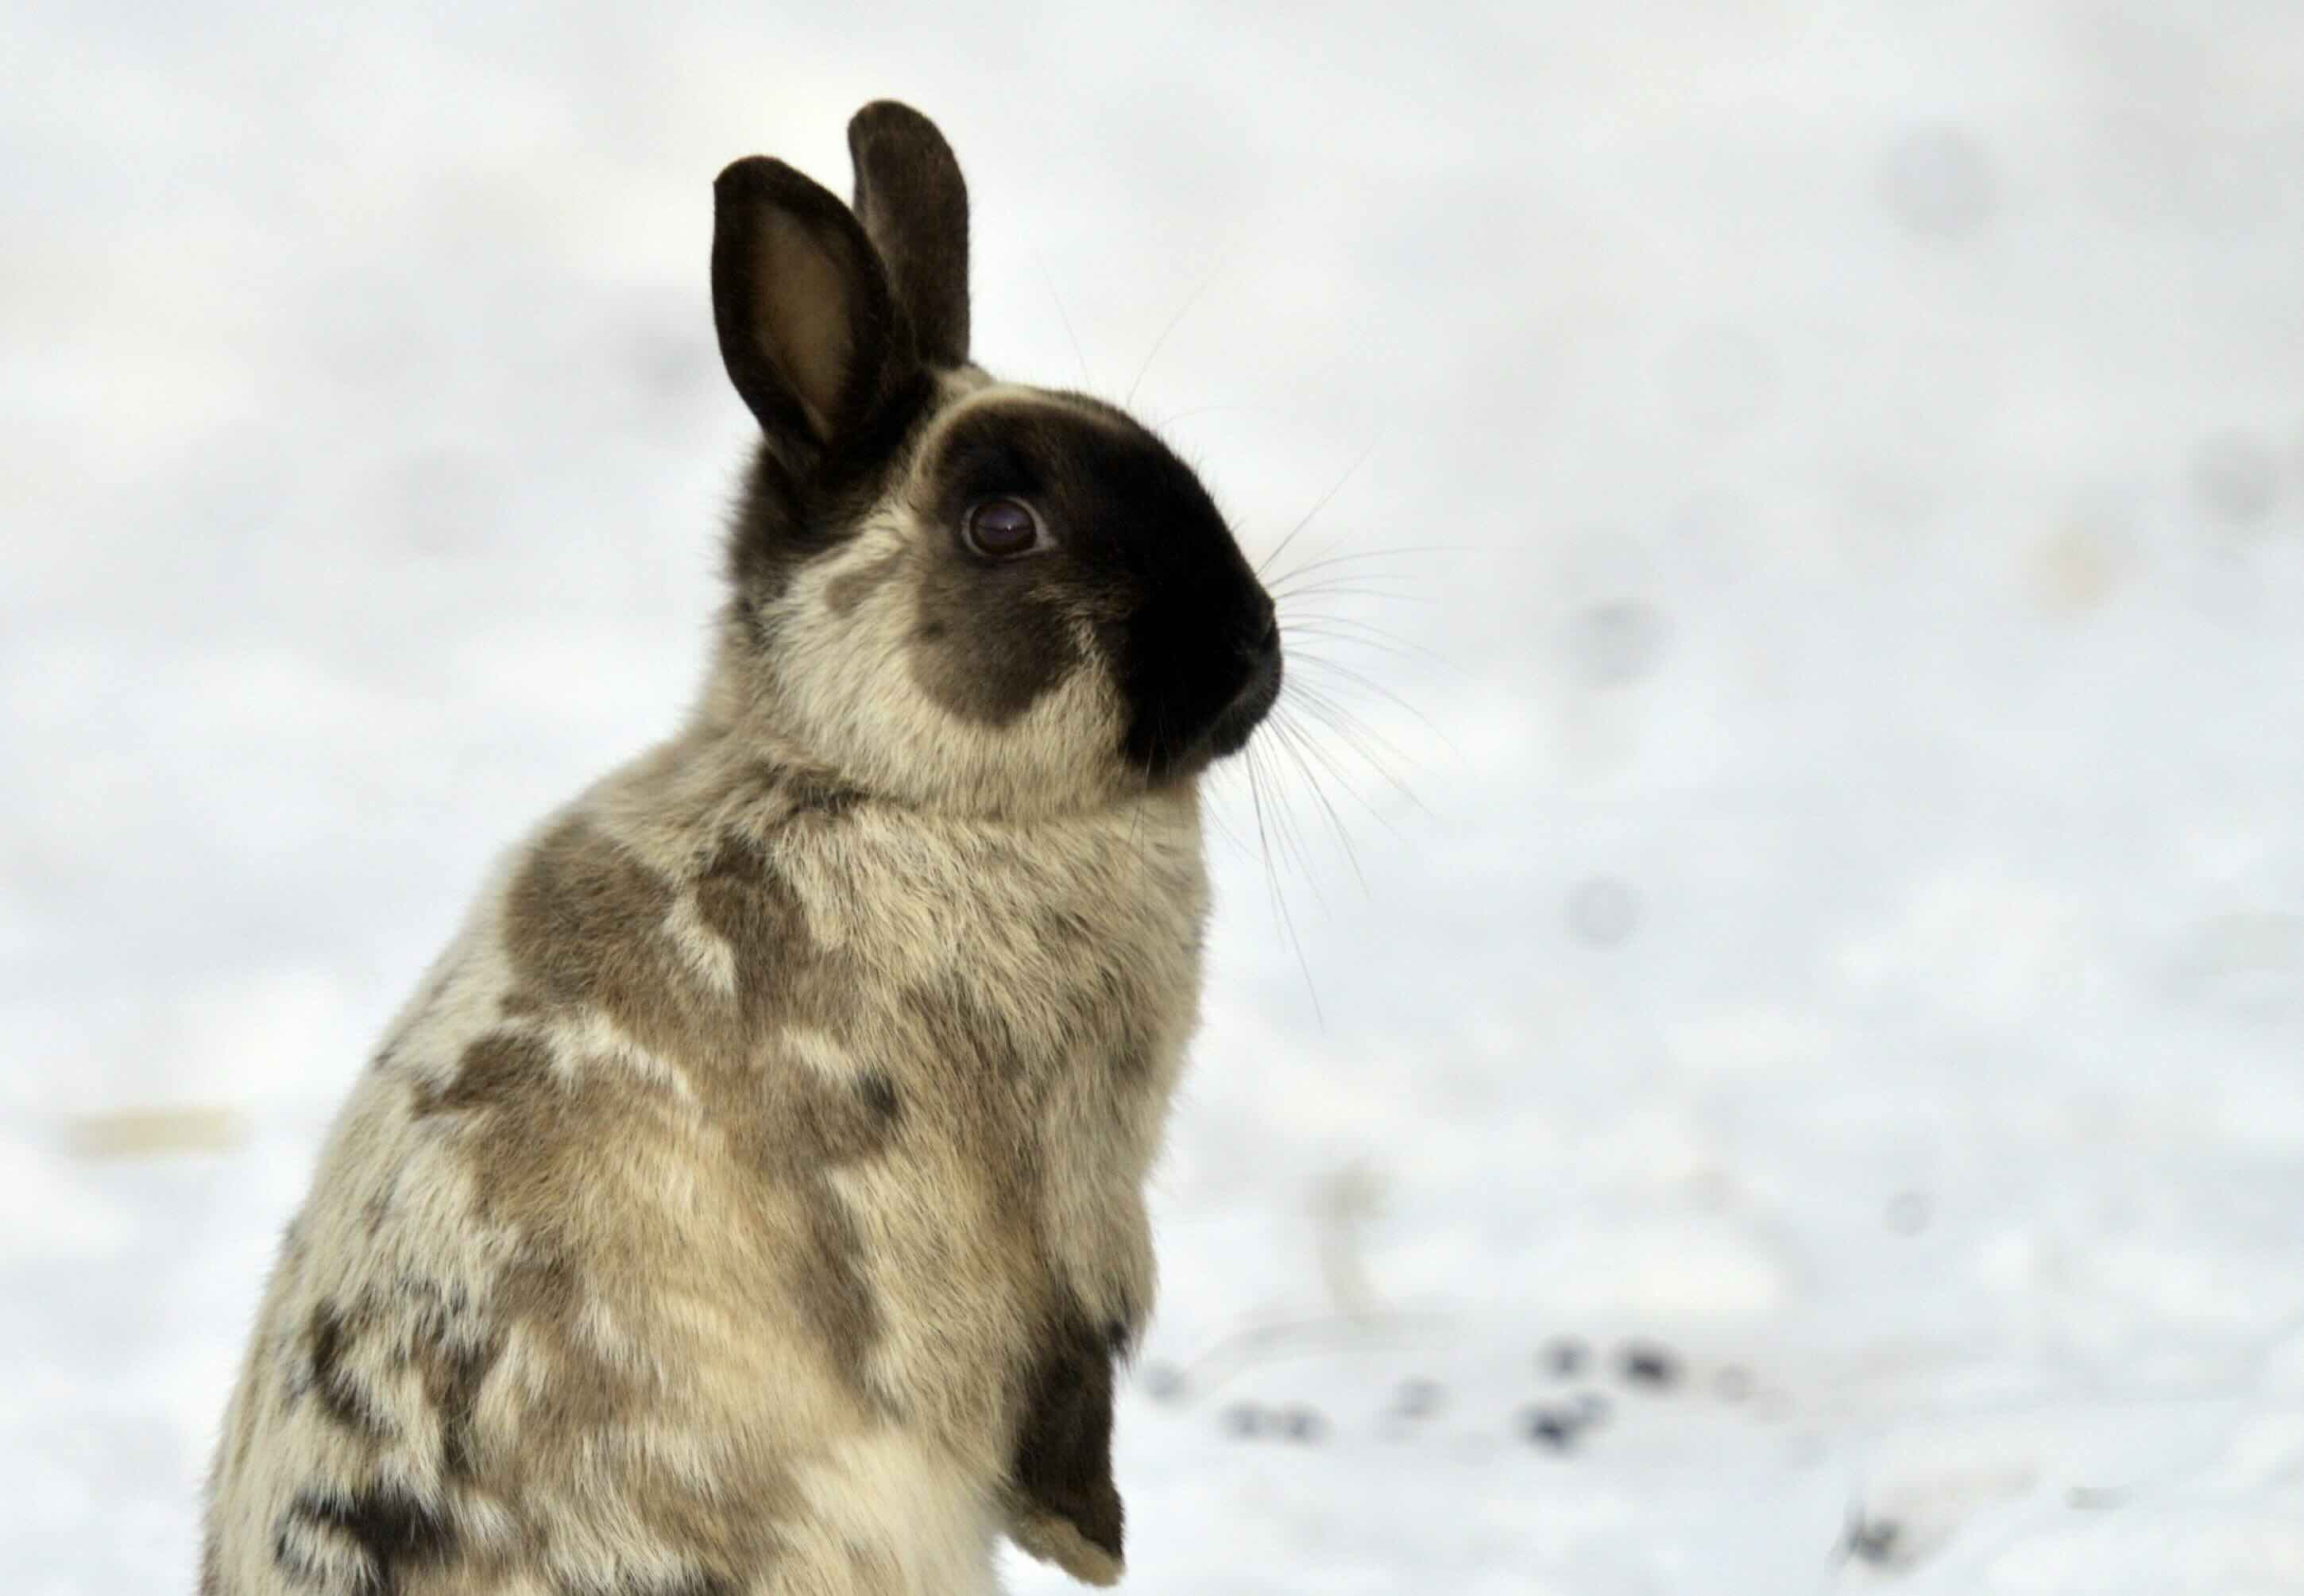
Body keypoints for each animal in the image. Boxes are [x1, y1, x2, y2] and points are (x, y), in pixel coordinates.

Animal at [198, 102, 1281, 1594]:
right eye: (1004, 527)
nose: (1253, 662)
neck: (870, 785)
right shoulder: (1039, 1196)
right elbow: (1061, 1365)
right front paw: (1089, 1538)